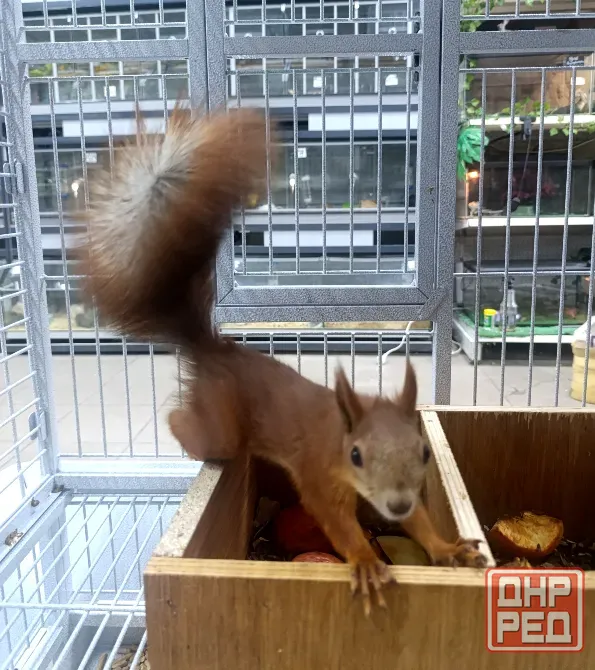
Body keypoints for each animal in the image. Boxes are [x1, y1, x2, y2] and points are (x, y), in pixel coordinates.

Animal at [79, 105, 486, 615]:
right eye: (356, 454)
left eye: (425, 452)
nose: (394, 506)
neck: (339, 433)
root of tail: (217, 349)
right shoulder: (317, 477)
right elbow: (337, 524)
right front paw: (364, 560)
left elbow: (420, 522)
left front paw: (447, 548)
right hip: (221, 419)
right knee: (191, 426)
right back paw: (184, 438)